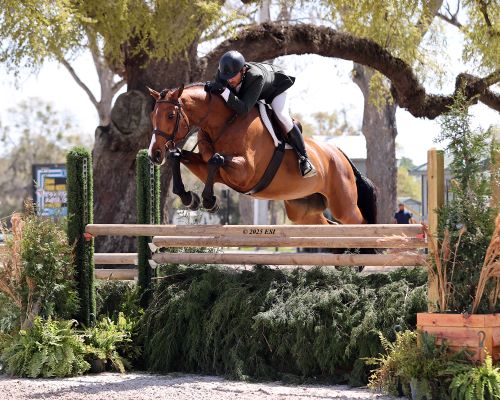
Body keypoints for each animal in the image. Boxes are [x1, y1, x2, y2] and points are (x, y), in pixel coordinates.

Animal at [146, 83, 376, 227]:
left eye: (171, 115)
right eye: (152, 115)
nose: (154, 154)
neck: (225, 123)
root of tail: (341, 155)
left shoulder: (246, 172)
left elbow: (216, 158)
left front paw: (210, 201)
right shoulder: (214, 171)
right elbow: (178, 156)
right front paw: (189, 198)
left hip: (343, 204)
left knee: (359, 223)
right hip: (300, 209)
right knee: (327, 225)